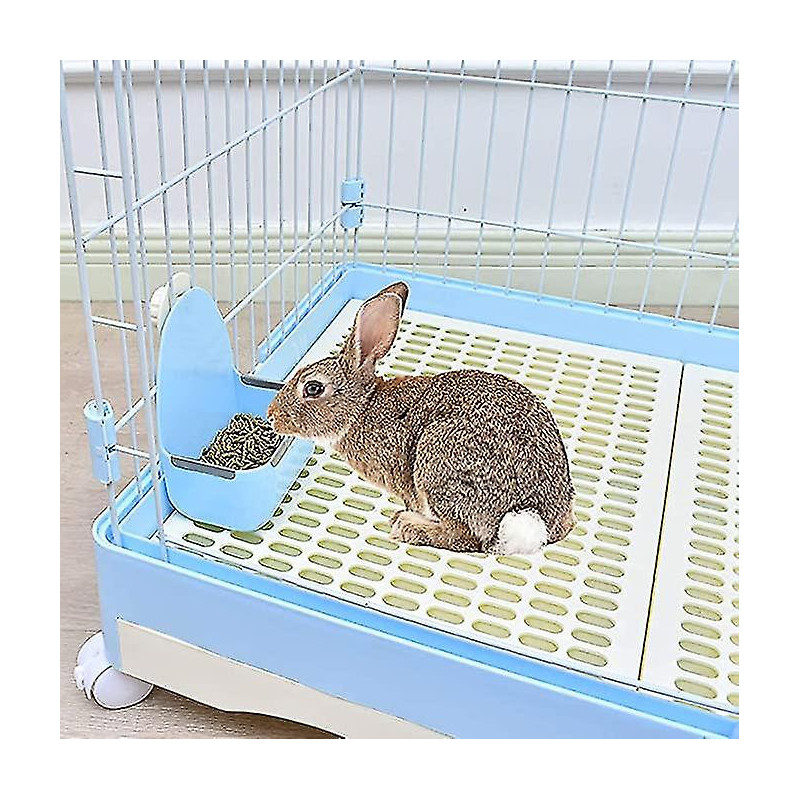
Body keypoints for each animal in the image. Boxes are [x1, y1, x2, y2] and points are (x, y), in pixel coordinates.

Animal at [267, 281, 575, 554]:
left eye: (313, 388)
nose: (272, 416)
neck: (362, 408)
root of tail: (534, 521)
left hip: (438, 464)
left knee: (466, 537)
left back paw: (408, 526)